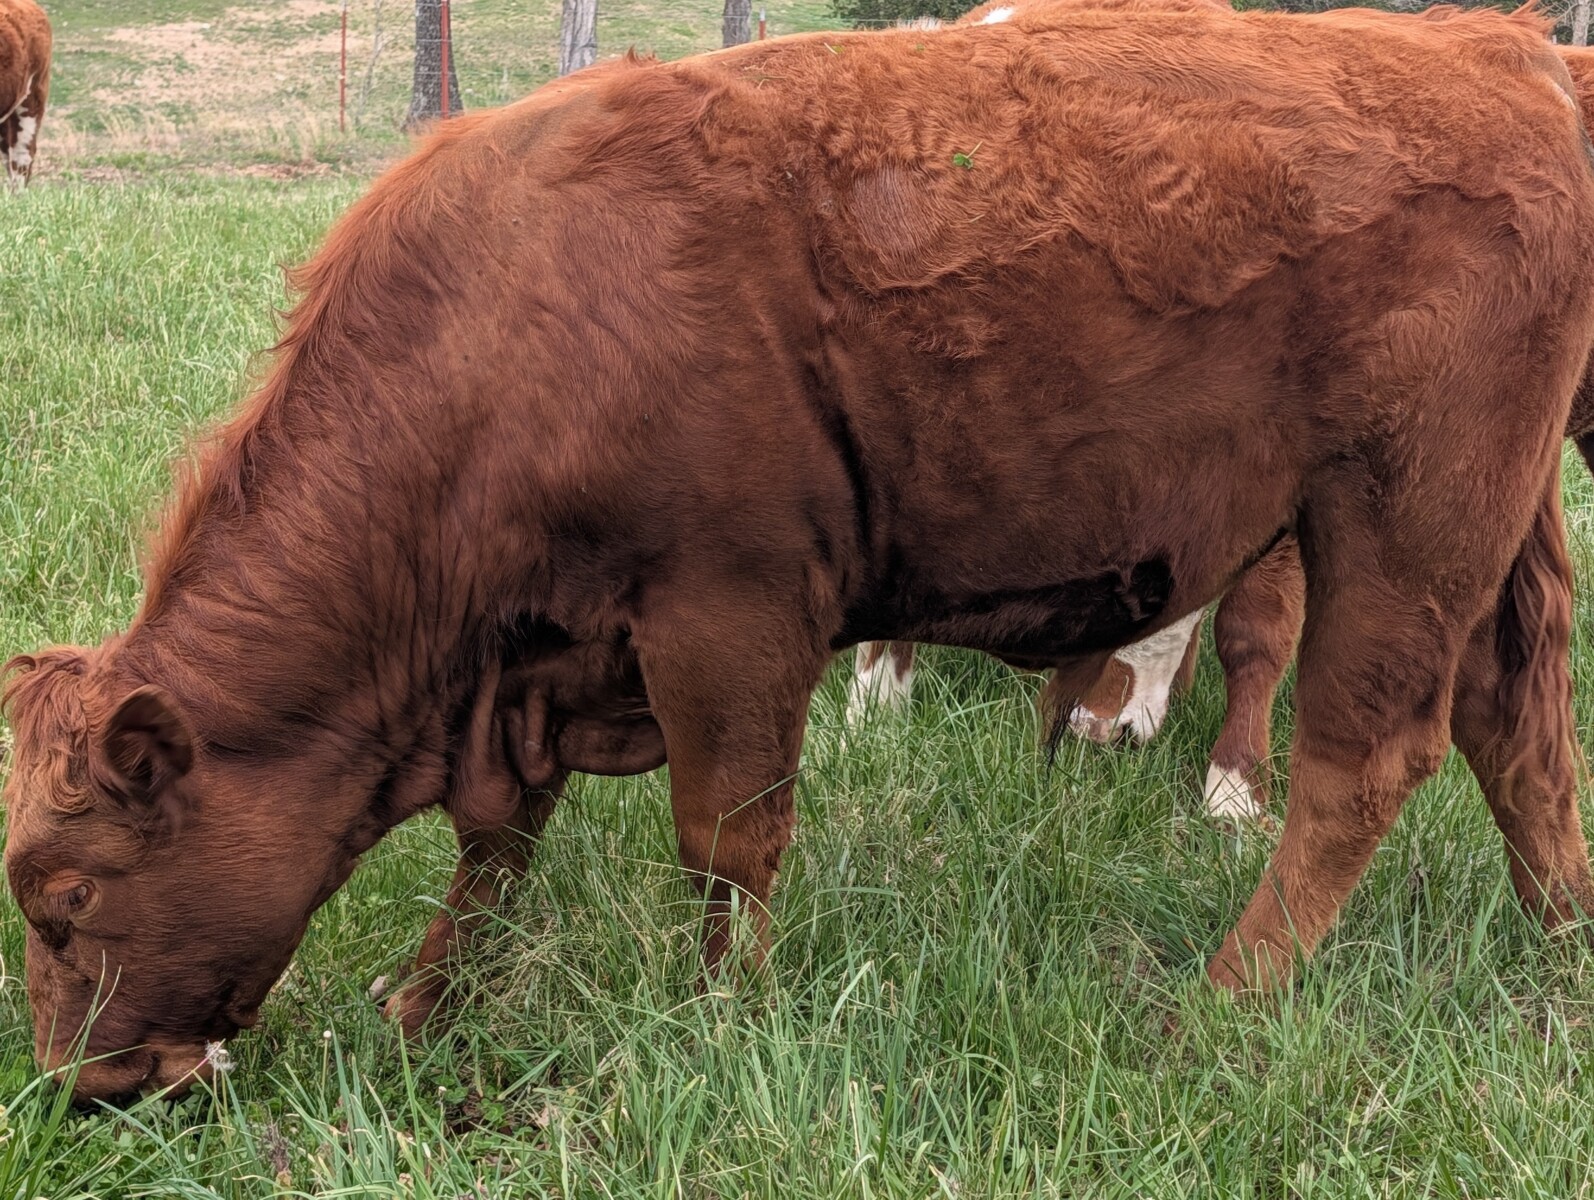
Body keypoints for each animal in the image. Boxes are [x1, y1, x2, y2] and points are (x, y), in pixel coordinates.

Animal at [6, 5, 1594, 1105]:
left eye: (65, 903)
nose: (81, 1093)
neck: (513, 318)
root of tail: (1498, 51)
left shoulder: (730, 615)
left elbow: (727, 834)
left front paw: (722, 1017)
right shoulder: (538, 662)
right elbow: (499, 838)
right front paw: (426, 1001)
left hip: (1402, 521)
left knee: (1364, 761)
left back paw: (1225, 996)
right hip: (1485, 531)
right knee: (1515, 730)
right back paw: (1562, 941)